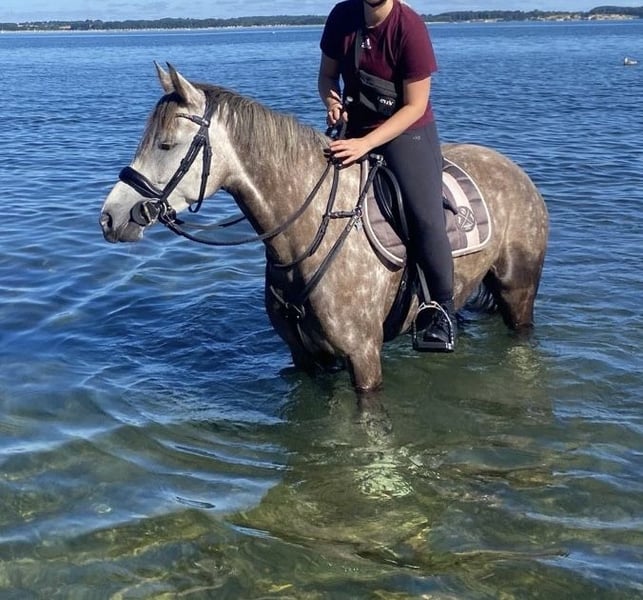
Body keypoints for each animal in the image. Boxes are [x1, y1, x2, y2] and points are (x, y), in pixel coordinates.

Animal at [100, 64, 548, 393]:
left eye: (166, 145)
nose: (110, 217)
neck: (308, 233)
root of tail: (516, 171)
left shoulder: (364, 359)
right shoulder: (306, 358)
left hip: (518, 292)